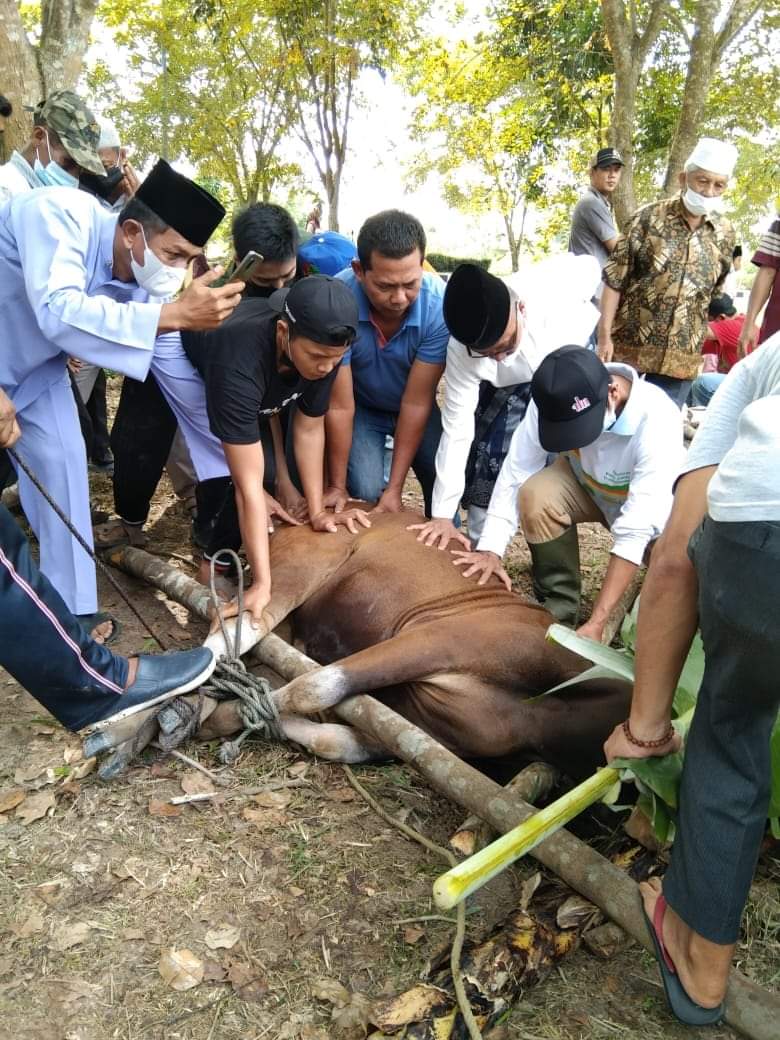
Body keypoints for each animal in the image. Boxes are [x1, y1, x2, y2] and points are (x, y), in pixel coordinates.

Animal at [198, 511, 632, 782]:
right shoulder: (434, 641)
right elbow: (316, 687)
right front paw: (220, 716)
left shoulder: (428, 735)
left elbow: (332, 740)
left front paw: (234, 717)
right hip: (301, 567)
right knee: (240, 625)